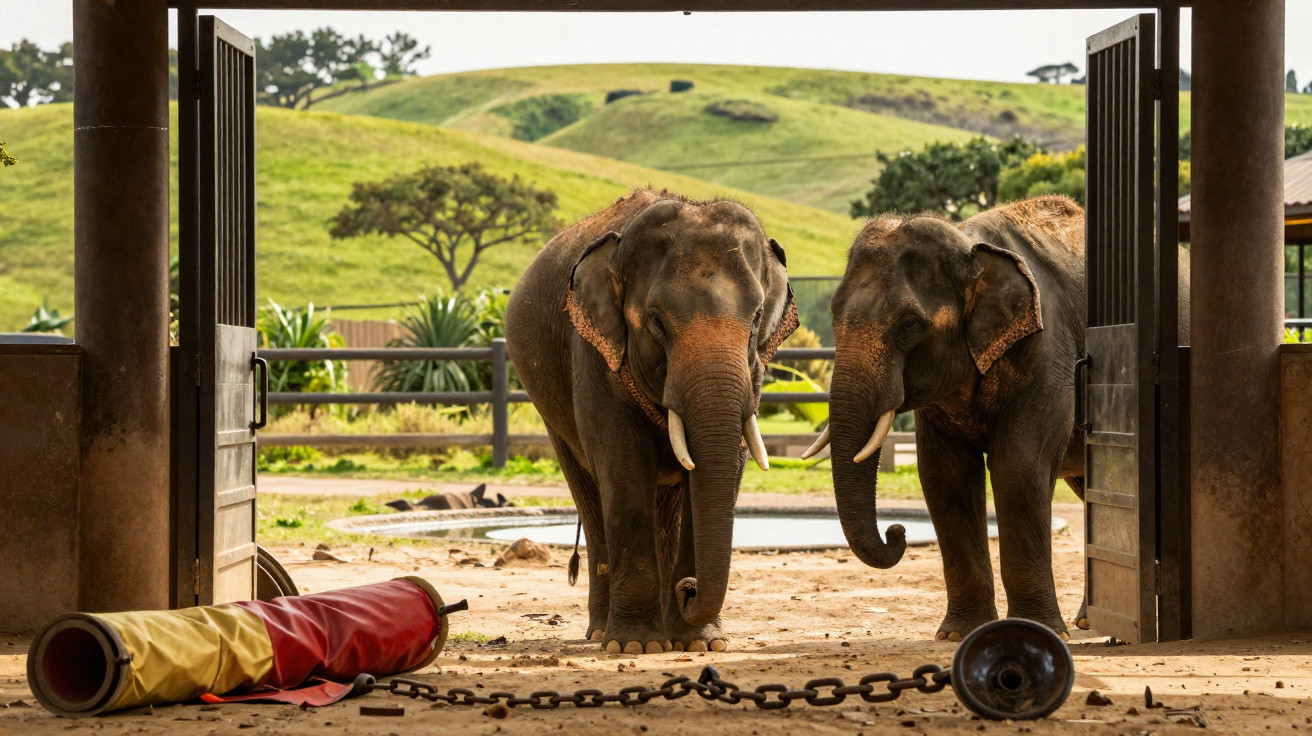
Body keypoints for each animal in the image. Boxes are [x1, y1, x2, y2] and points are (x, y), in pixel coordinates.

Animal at [505, 188, 797, 654]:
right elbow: (622, 464)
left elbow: (727, 461)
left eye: (755, 319)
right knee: (591, 500)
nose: (689, 589)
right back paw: (603, 633)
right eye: (657, 322)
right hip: (549, 410)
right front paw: (635, 646)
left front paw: (700, 644)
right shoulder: (594, 351)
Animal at [806, 195, 1187, 641]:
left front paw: (1036, 630)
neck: (969, 242)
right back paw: (1089, 620)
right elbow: (945, 478)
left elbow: (1018, 469)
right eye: (833, 314)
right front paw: (958, 634)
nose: (896, 531)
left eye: (909, 325)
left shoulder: (1048, 352)